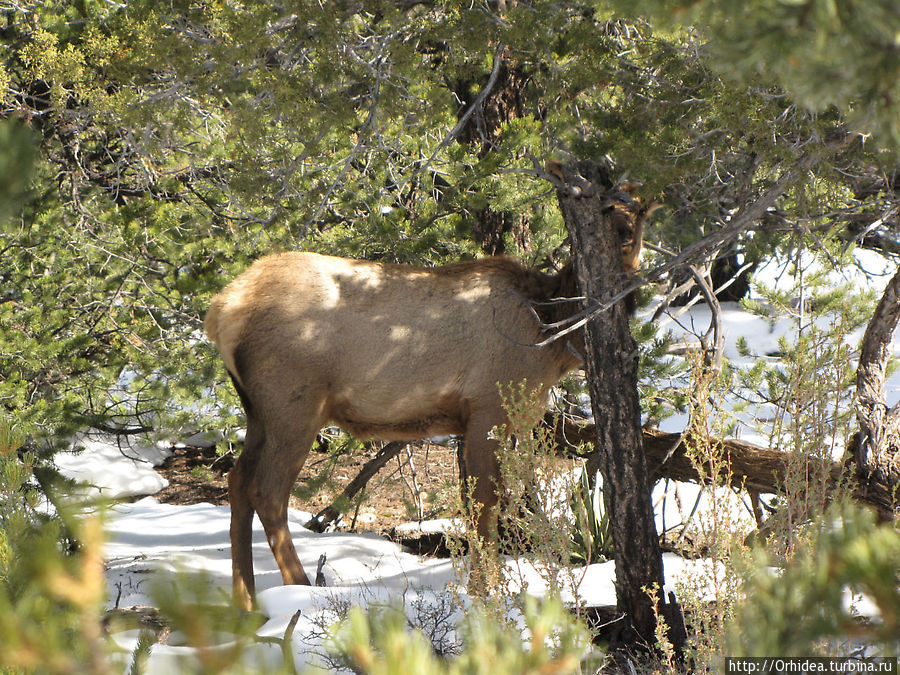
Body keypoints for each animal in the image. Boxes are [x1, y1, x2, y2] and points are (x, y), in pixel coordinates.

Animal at [206, 197, 648, 612]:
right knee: (267, 490)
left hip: (257, 411)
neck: (553, 341)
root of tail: (221, 311)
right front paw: (484, 594)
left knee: (238, 481)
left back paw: (245, 599)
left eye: (636, 225)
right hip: (294, 407)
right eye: (616, 228)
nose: (630, 291)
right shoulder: (488, 410)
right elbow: (485, 509)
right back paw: (300, 588)